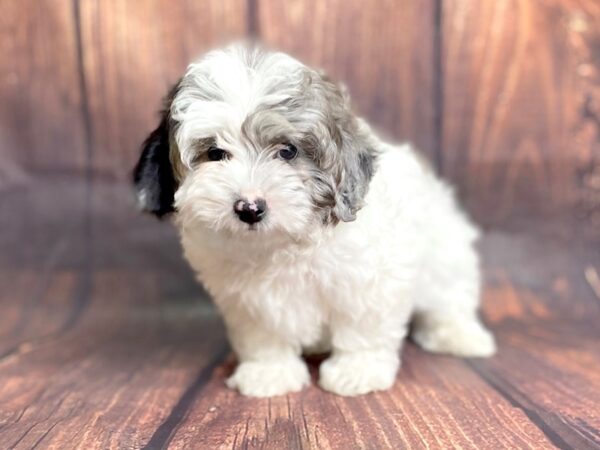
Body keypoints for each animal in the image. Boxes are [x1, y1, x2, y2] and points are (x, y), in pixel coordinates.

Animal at [134, 44, 494, 398]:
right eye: (214, 153)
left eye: (288, 151)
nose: (249, 208)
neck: (281, 245)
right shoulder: (248, 302)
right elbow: (263, 336)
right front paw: (269, 372)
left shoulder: (369, 281)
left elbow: (362, 328)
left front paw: (357, 370)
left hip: (446, 255)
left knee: (449, 298)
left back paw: (459, 335)